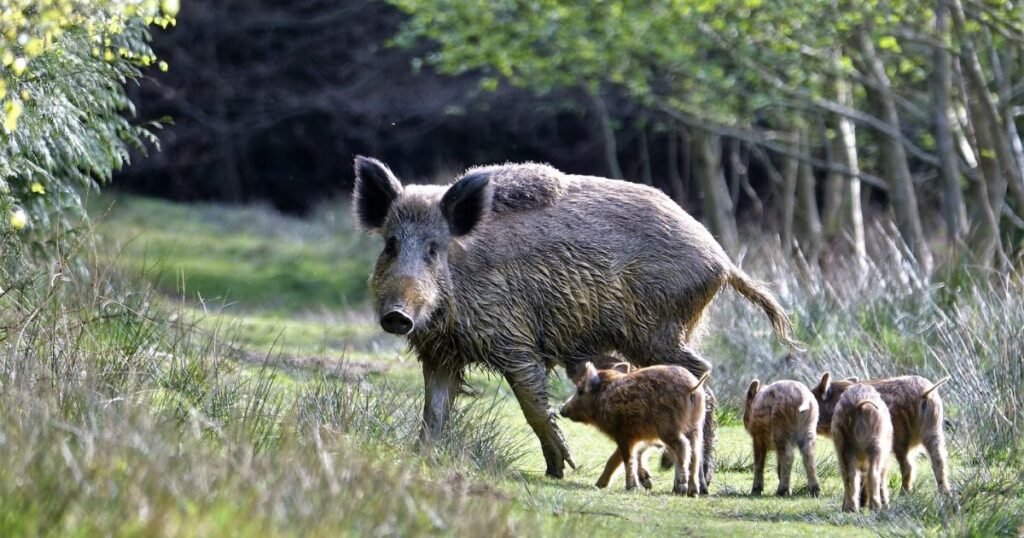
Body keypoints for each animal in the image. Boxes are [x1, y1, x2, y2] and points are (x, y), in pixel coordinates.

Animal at [352, 156, 798, 479]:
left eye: (433, 249)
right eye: (390, 245)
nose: (397, 316)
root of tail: (722, 260)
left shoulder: (514, 341)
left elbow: (533, 406)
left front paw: (560, 469)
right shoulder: (440, 354)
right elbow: (434, 410)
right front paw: (419, 458)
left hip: (657, 332)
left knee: (702, 374)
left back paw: (697, 474)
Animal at [560, 362, 709, 495]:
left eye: (580, 391)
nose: (561, 409)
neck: (603, 399)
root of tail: (691, 387)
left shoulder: (623, 434)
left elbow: (627, 459)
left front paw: (631, 487)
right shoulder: (635, 436)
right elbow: (615, 459)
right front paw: (599, 485)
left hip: (669, 427)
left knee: (682, 446)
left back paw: (681, 488)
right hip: (696, 426)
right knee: (696, 453)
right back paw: (693, 491)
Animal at [812, 373, 951, 495]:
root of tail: (924, 393)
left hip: (901, 438)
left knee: (909, 466)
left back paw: (903, 494)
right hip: (934, 431)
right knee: (939, 460)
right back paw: (945, 493)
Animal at [831, 383, 893, 511]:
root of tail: (859, 404)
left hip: (845, 446)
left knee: (850, 475)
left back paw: (851, 509)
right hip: (875, 446)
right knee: (872, 474)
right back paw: (875, 507)